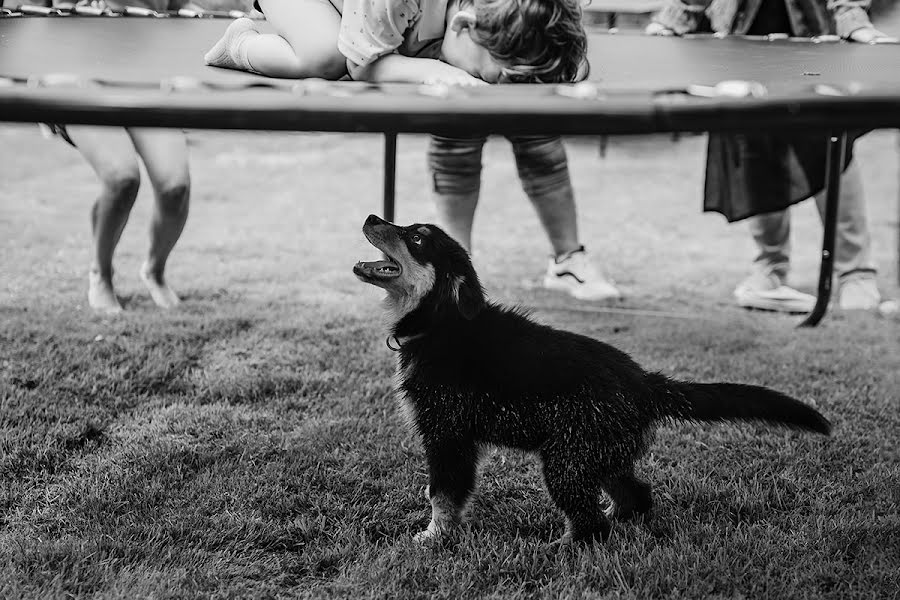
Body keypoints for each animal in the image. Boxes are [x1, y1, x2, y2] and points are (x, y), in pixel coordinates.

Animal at [356, 216, 832, 544]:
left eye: (417, 238)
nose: (372, 217)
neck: (439, 321)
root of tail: (646, 383)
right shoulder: (457, 437)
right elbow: (443, 493)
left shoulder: (447, 434)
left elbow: (442, 493)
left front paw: (433, 538)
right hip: (597, 453)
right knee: (636, 494)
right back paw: (620, 519)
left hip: (566, 460)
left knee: (590, 526)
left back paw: (563, 547)